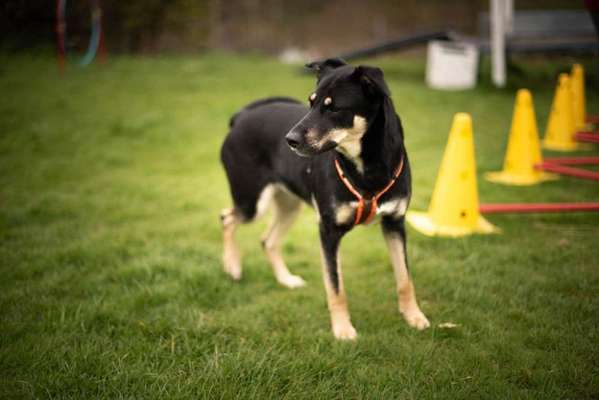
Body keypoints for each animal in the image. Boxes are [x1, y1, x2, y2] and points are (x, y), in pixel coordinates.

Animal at [220, 58, 432, 340]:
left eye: (334, 108)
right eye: (311, 102)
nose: (290, 140)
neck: (366, 168)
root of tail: (241, 117)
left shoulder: (395, 223)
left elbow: (405, 278)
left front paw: (414, 317)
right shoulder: (328, 230)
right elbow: (336, 287)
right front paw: (343, 329)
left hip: (289, 204)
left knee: (268, 240)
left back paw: (285, 279)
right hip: (252, 201)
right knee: (227, 217)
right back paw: (232, 266)